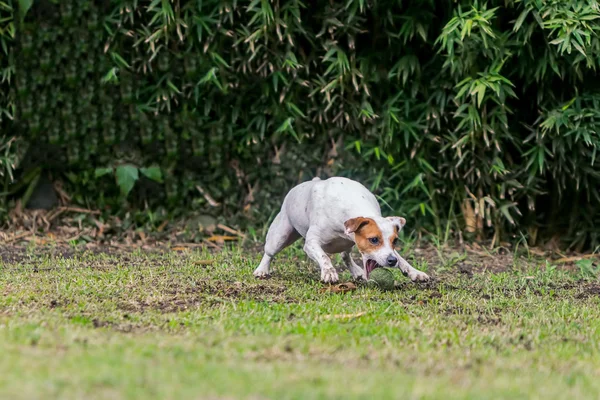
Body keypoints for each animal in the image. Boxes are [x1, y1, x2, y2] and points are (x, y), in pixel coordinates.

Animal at [253, 177, 432, 282]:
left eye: (395, 241)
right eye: (374, 239)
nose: (391, 261)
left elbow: (402, 258)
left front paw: (414, 272)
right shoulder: (311, 243)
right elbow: (324, 256)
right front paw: (329, 272)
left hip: (346, 244)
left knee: (346, 256)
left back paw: (357, 271)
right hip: (280, 235)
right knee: (269, 252)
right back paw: (262, 270)